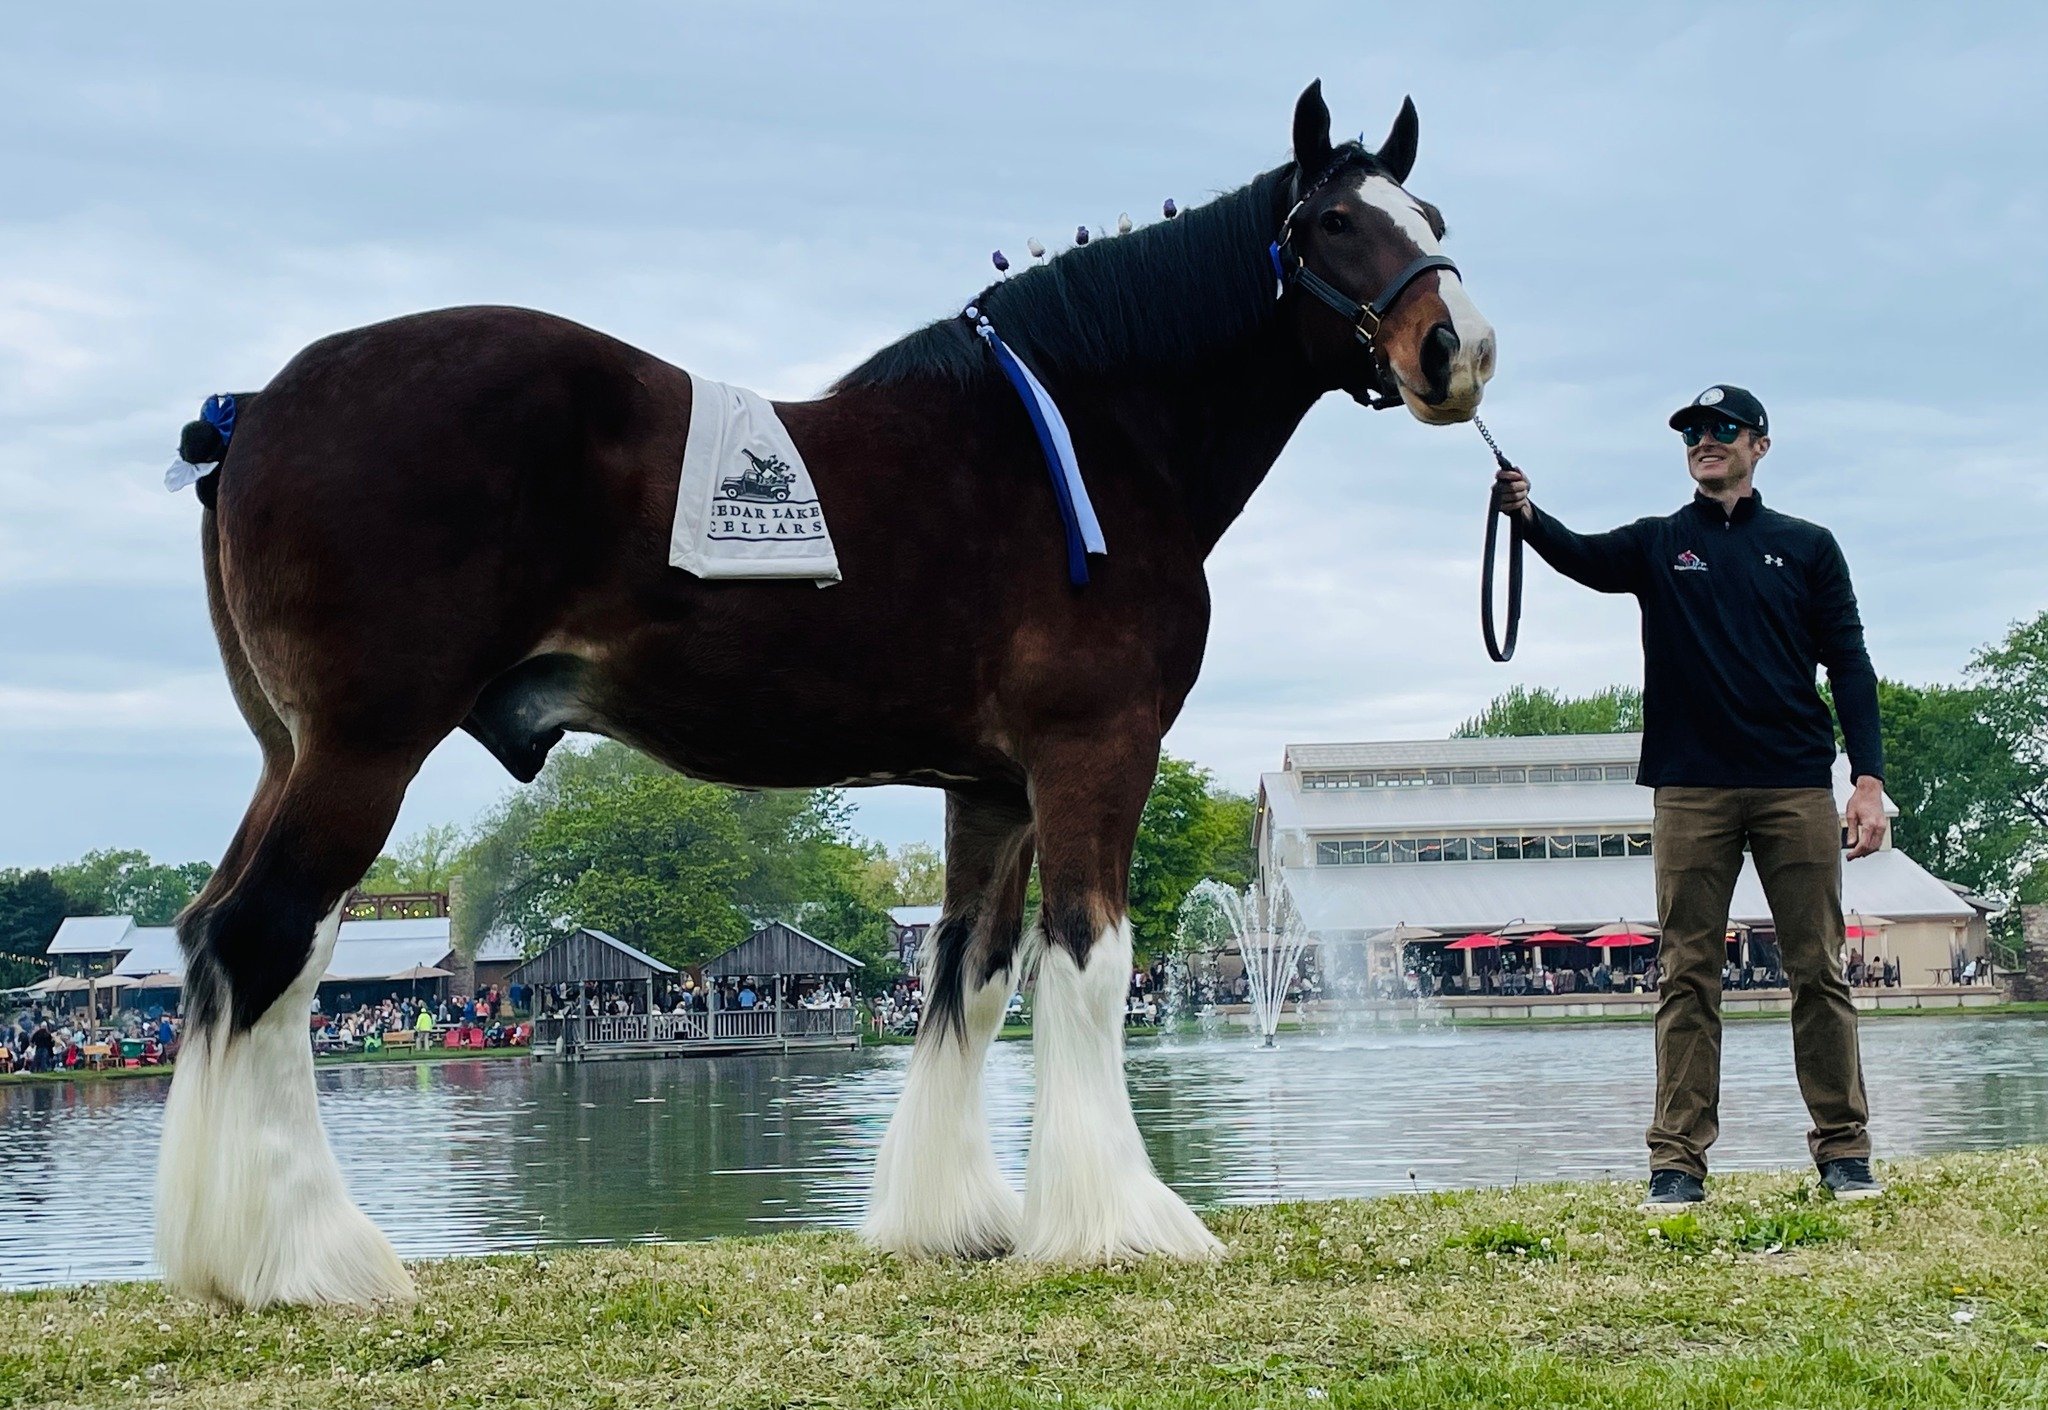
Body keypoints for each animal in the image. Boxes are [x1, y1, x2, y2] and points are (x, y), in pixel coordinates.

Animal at [157, 79, 1494, 1308]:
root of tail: (258, 408)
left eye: (1430, 216)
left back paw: (232, 1256)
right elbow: (1088, 962)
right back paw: (311, 1259)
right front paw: (1121, 1222)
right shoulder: (1093, 752)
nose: (1456, 350)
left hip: (291, 752)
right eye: (1332, 223)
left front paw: (955, 1219)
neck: (1092, 439)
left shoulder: (991, 789)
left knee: (223, 943)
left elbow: (972, 975)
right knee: (270, 943)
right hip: (366, 746)